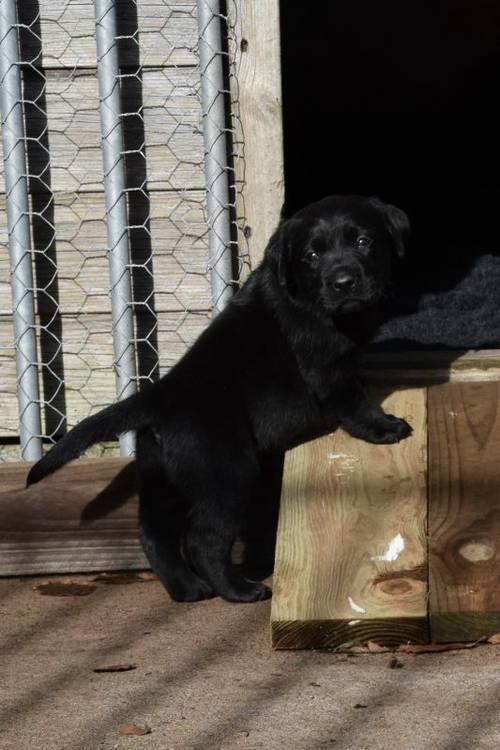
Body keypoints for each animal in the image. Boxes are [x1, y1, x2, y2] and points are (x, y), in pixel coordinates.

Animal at [25, 195, 412, 604]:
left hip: (165, 476)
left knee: (155, 533)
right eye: (311, 254)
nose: (343, 282)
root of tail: (159, 397)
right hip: (225, 471)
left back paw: (186, 588)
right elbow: (353, 401)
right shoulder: (326, 366)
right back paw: (239, 589)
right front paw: (384, 427)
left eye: (363, 242)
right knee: (202, 541)